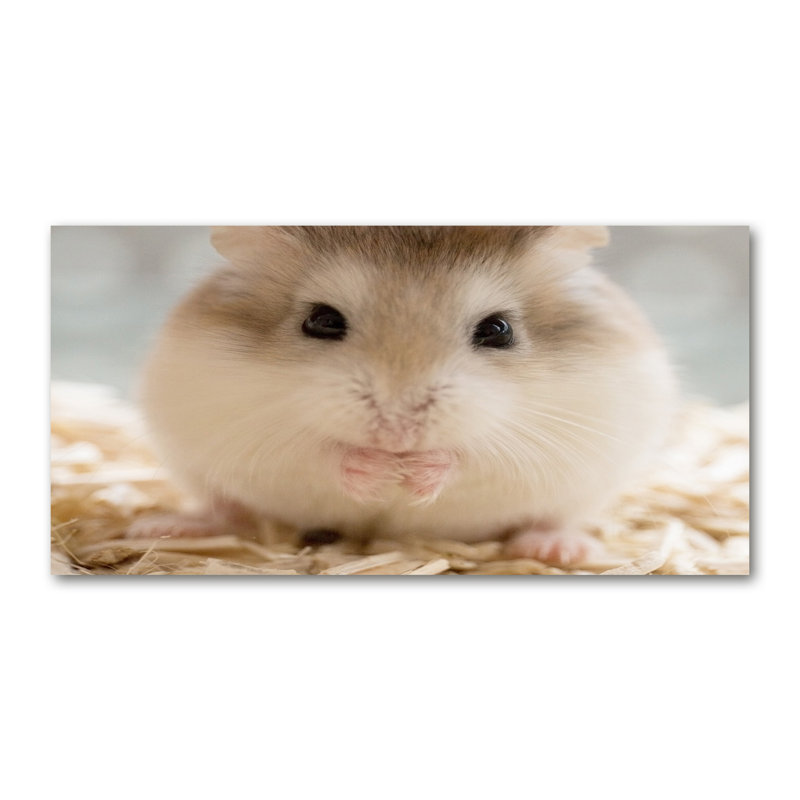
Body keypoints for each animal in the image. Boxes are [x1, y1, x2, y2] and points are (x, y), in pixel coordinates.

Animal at [128, 226, 677, 566]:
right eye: (322, 321)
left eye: (497, 330)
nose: (397, 431)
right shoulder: (248, 424)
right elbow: (321, 451)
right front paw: (379, 471)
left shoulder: (546, 439)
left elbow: (471, 456)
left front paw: (413, 474)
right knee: (227, 511)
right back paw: (164, 528)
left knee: (555, 518)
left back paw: (557, 550)